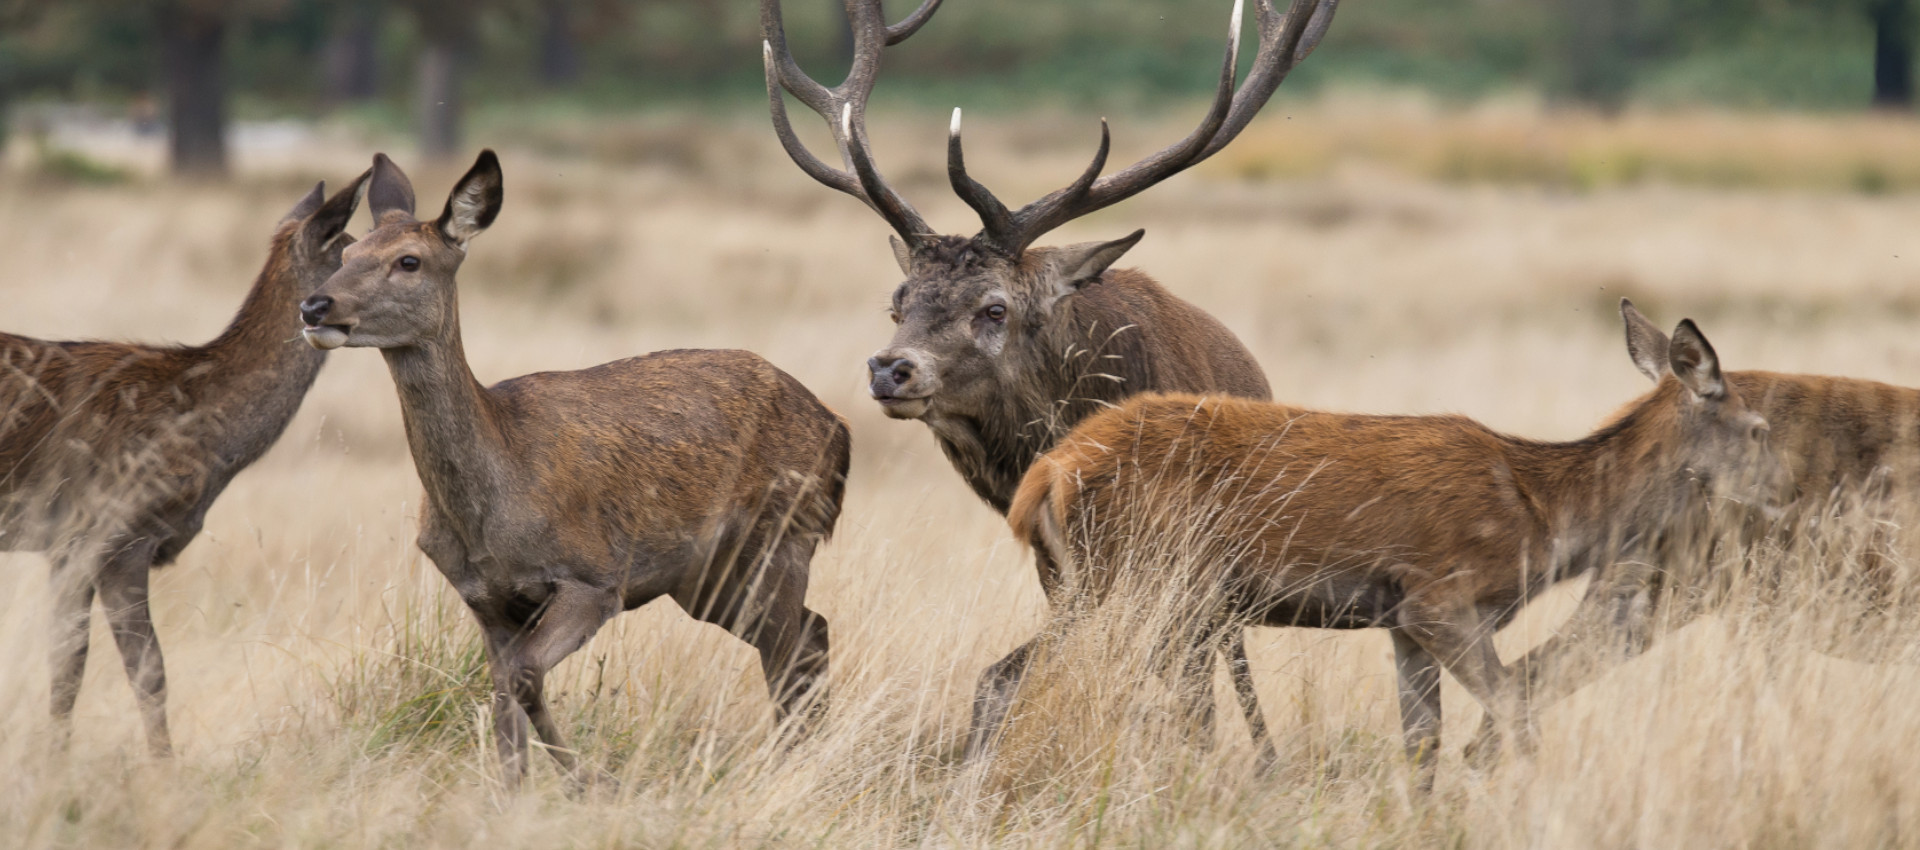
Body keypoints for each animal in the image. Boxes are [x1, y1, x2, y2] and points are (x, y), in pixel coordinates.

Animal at [0, 174, 366, 759]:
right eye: (353, 251)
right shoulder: (117, 532)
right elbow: (148, 670)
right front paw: (164, 770)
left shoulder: (64, 545)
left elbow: (65, 666)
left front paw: (54, 764)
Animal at [297, 151, 848, 790]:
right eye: (346, 254)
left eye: (408, 261)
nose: (314, 306)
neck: (492, 507)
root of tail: (838, 427)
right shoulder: (484, 600)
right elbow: (503, 701)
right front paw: (520, 795)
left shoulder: (594, 577)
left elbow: (524, 678)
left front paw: (591, 780)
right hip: (705, 578)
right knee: (810, 632)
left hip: (782, 537)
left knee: (792, 647)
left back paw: (788, 766)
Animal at [760, 0, 1336, 763]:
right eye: (898, 302)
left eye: (994, 308)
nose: (891, 368)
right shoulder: (1058, 565)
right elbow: (1011, 679)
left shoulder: (1169, 559)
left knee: (1215, 662)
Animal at [983, 306, 1789, 786]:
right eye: (1758, 430)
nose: (1788, 490)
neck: (1542, 515)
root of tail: (1047, 475)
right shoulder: (1441, 597)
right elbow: (1517, 716)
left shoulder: (1402, 623)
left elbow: (1422, 747)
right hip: (1138, 579)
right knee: (1032, 680)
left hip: (1098, 585)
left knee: (1009, 675)